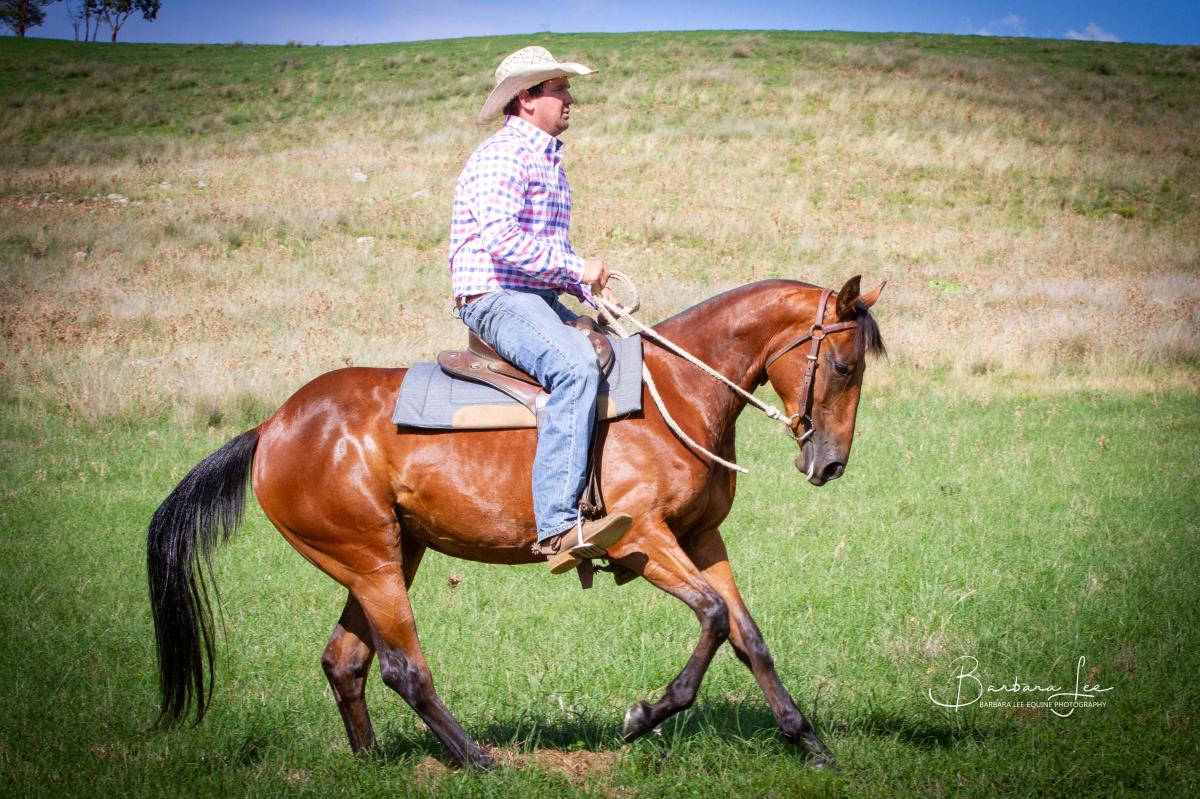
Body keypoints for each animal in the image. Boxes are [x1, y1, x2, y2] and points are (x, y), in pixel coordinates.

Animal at [146, 275, 885, 769]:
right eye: (844, 364)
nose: (830, 462)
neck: (676, 392)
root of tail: (271, 426)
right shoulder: (644, 538)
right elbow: (711, 615)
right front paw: (643, 714)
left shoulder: (702, 537)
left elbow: (747, 635)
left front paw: (809, 741)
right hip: (372, 562)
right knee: (402, 669)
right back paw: (477, 758)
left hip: (386, 557)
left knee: (345, 661)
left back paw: (370, 761)